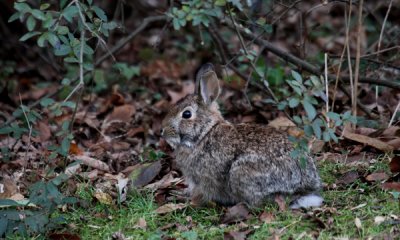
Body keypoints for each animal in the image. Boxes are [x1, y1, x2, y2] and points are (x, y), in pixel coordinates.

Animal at [161, 62, 324, 209]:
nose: (163, 132)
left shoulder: (203, 180)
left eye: (187, 114)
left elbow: (201, 195)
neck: (204, 133)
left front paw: (185, 200)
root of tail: (303, 189)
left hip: (240, 173)